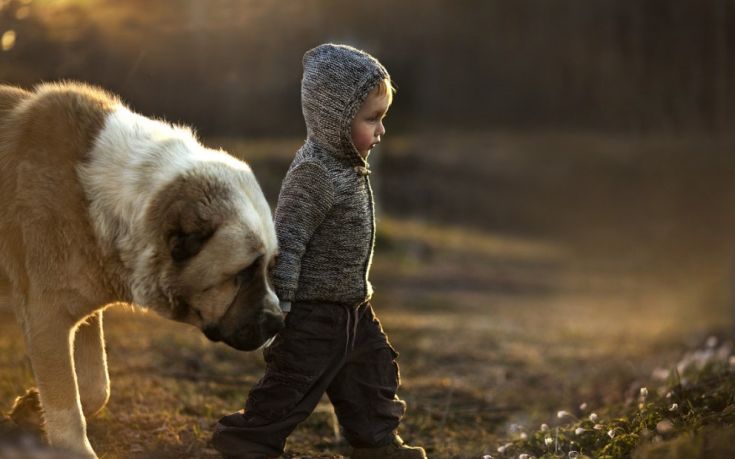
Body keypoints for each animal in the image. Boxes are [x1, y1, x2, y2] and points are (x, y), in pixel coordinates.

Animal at [0, 83, 284, 459]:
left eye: (269, 266)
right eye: (244, 272)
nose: (279, 322)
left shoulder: (76, 313)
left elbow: (95, 386)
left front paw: (32, 407)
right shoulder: (46, 316)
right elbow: (66, 404)